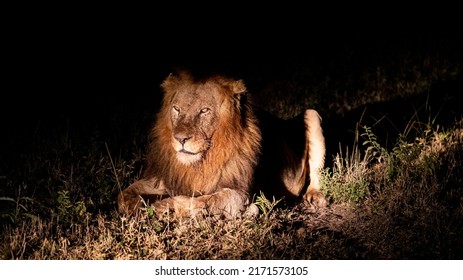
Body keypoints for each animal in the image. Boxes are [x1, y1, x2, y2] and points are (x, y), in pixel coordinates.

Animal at [118, 69, 326, 219]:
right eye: (176, 109)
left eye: (204, 111)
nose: (180, 139)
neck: (201, 162)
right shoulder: (166, 178)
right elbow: (123, 195)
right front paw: (141, 205)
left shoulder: (239, 194)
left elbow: (201, 200)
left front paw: (162, 206)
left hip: (312, 114)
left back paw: (315, 196)